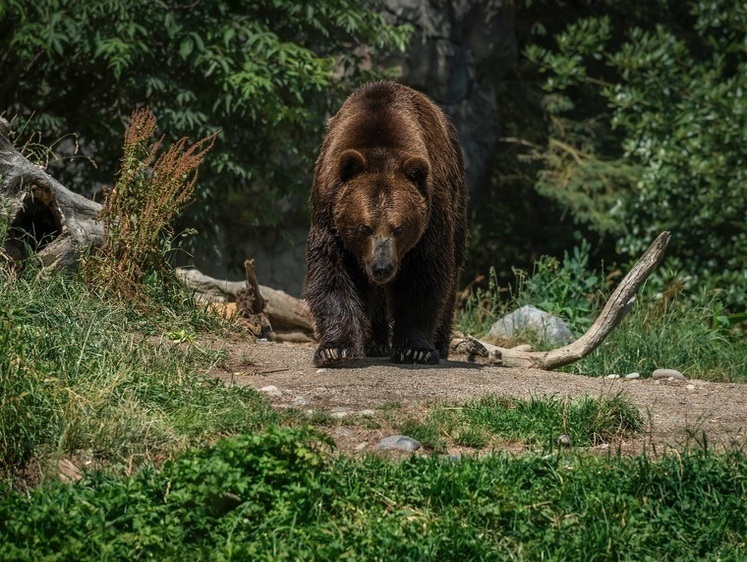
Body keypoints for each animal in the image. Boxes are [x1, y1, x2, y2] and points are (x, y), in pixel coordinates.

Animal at [304, 80, 468, 368]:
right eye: (364, 227)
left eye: (399, 228)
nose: (382, 267)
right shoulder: (329, 209)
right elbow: (332, 272)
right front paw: (334, 349)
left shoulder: (432, 213)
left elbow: (424, 275)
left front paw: (415, 350)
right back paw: (376, 342)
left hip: (457, 203)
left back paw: (438, 344)